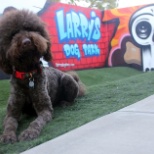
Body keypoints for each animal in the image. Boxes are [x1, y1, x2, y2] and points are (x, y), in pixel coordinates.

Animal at [0, 9, 85, 143]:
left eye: (32, 29)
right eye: (13, 34)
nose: (26, 42)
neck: (27, 75)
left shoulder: (44, 109)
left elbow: (36, 122)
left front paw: (29, 133)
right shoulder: (12, 112)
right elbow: (9, 123)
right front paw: (7, 135)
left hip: (67, 80)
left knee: (72, 99)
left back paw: (64, 103)